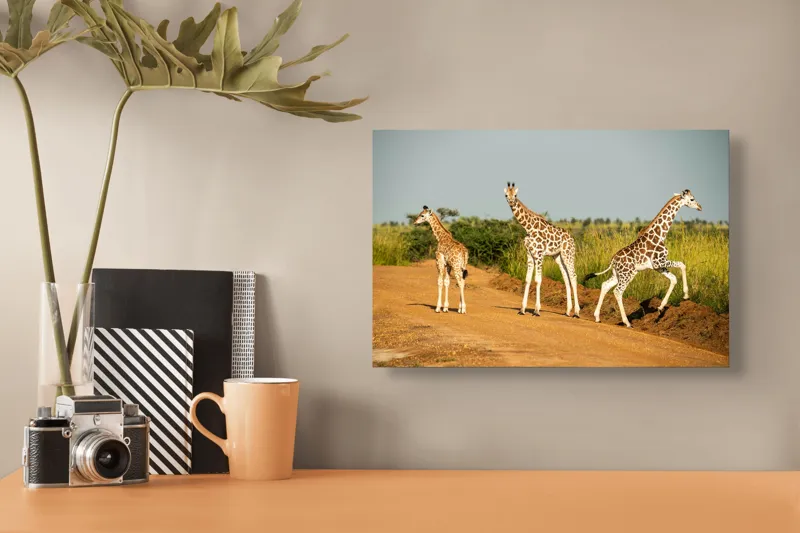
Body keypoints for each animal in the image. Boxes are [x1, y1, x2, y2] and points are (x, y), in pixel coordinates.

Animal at [503, 182, 580, 318]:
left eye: (516, 195)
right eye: (506, 195)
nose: (512, 202)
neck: (528, 228)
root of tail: (572, 238)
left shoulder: (539, 255)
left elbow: (538, 280)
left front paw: (536, 310)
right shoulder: (529, 254)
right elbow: (527, 279)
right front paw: (522, 309)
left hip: (568, 254)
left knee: (573, 276)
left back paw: (576, 312)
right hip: (558, 257)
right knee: (566, 278)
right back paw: (567, 311)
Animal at [586, 189, 703, 328]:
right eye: (692, 199)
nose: (700, 207)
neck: (660, 234)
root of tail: (613, 260)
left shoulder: (657, 266)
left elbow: (673, 278)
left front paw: (661, 308)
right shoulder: (659, 262)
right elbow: (682, 264)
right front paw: (685, 295)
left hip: (618, 274)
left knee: (605, 285)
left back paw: (597, 317)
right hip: (627, 274)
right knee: (618, 291)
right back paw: (627, 322)